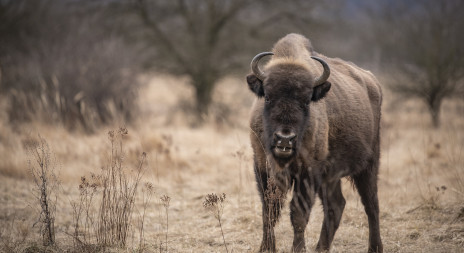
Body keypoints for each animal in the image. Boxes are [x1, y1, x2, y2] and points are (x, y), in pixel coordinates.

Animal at [248, 34, 382, 253]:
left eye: (306, 100)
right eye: (267, 97)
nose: (284, 138)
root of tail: (373, 83)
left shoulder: (308, 173)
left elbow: (298, 214)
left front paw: (298, 249)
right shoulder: (262, 167)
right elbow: (269, 211)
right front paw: (266, 248)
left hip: (369, 164)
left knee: (371, 205)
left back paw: (375, 247)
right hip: (331, 176)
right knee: (336, 205)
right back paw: (321, 248)